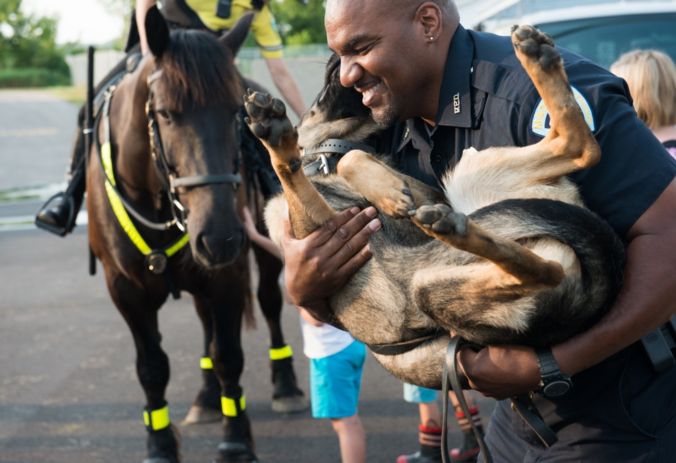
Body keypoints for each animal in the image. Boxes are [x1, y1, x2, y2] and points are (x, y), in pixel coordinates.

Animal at [86, 7, 302, 463]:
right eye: (166, 114)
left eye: (235, 114)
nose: (220, 236)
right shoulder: (125, 290)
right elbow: (152, 368)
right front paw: (160, 445)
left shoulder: (226, 276)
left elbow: (230, 356)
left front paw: (235, 440)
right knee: (205, 325)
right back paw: (206, 397)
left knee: (269, 302)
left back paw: (285, 384)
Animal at [242, 25, 624, 388]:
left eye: (346, 59)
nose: (339, 61)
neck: (320, 161)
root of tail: (588, 300)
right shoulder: (330, 222)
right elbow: (310, 166)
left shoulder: (414, 197)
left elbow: (347, 160)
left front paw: (384, 189)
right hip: (453, 223)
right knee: (569, 178)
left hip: (447, 237)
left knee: (577, 158)